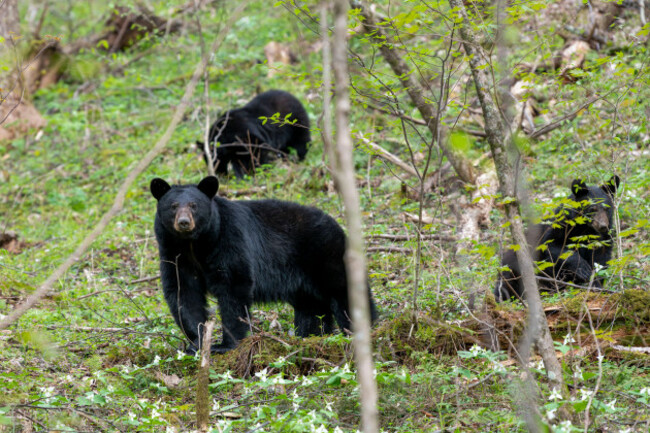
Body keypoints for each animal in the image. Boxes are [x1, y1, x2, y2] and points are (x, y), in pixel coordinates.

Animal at [150, 176, 377, 354]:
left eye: (194, 205)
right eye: (173, 206)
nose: (184, 222)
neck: (195, 244)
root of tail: (337, 225)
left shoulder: (229, 239)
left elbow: (233, 287)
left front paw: (225, 345)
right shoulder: (174, 254)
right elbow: (183, 293)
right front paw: (196, 343)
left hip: (325, 254)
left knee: (343, 289)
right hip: (304, 280)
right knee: (311, 307)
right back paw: (310, 335)